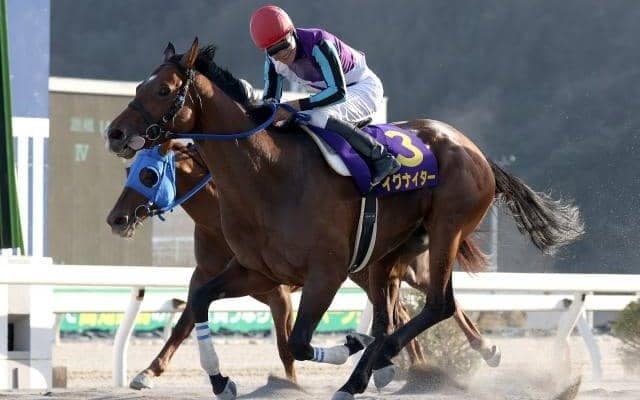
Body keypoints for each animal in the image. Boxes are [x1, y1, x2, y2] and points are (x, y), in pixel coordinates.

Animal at [106, 38, 583, 399]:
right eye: (140, 85)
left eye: (164, 90)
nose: (114, 132)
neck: (268, 176)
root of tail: (476, 151)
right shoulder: (257, 271)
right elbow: (201, 303)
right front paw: (220, 380)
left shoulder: (323, 273)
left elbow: (297, 342)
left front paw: (350, 346)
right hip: (387, 254)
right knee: (395, 314)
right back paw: (369, 372)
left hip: (446, 229)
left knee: (437, 305)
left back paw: (389, 360)